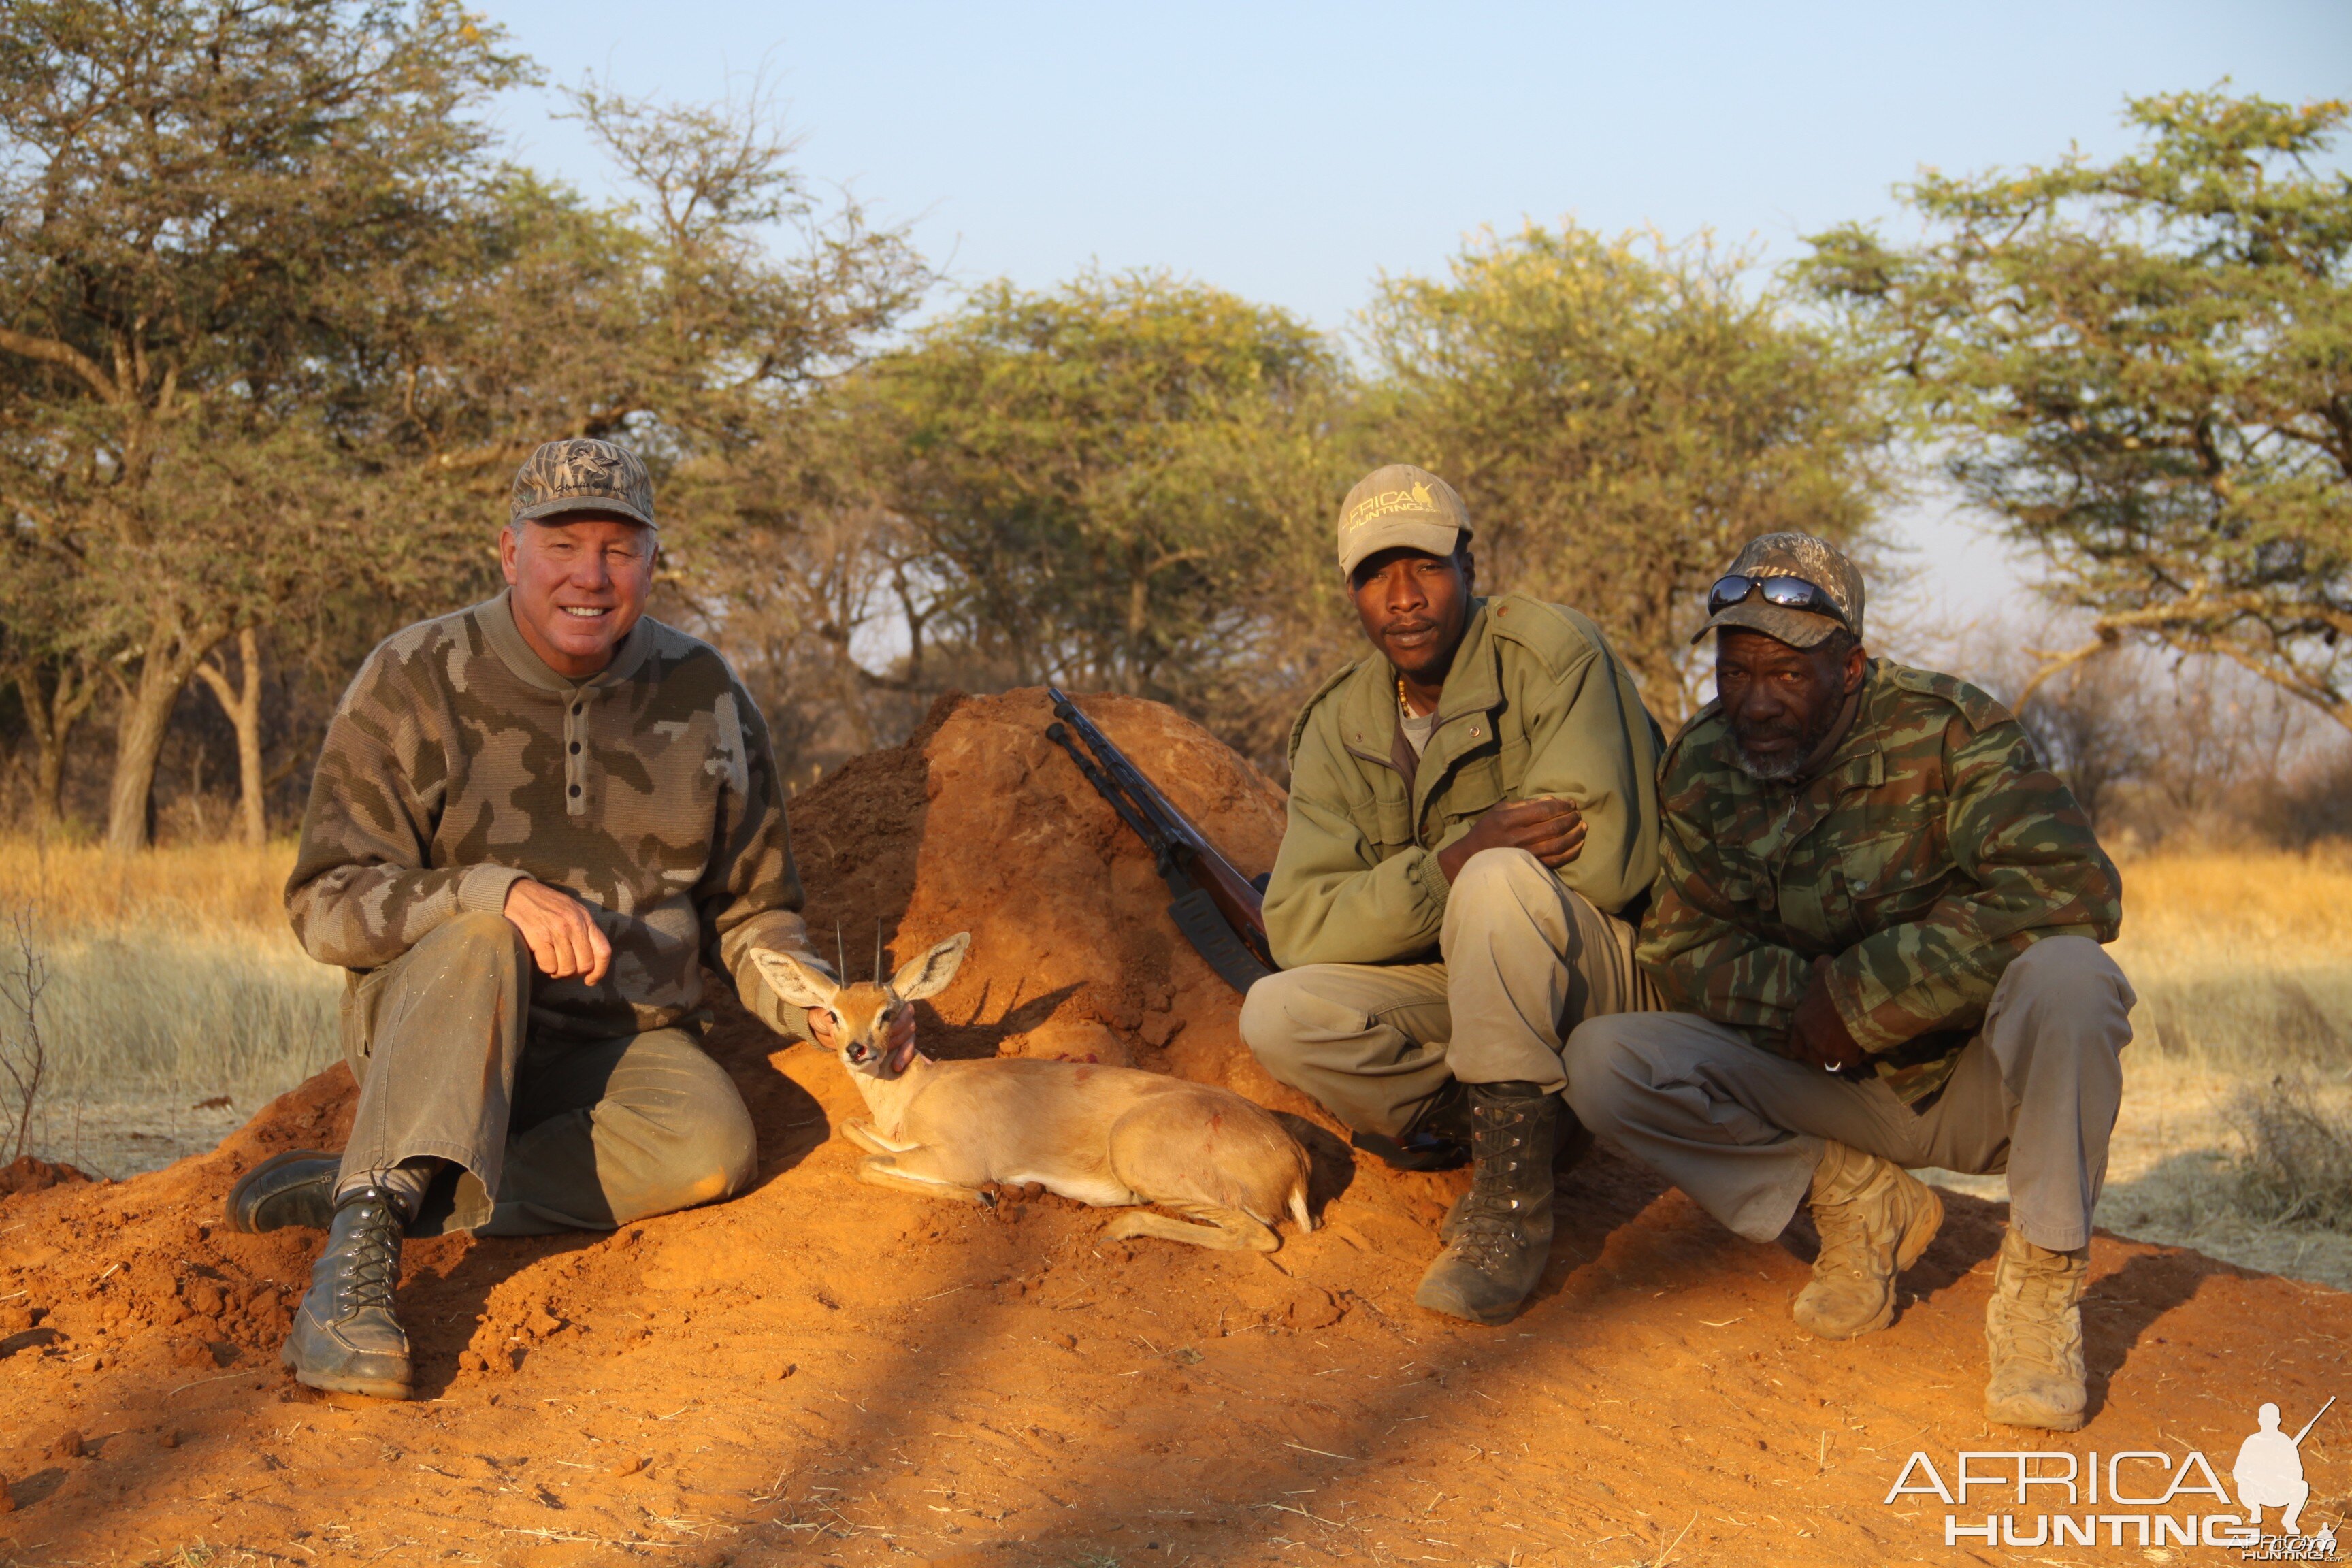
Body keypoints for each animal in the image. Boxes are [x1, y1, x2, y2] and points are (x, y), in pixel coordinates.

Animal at [748, 930, 1317, 1250]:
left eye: (889, 1012)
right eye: (834, 1013)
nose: (857, 1050)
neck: (917, 1091)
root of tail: (1295, 1162)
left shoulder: (958, 1156)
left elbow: (869, 1166)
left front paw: (984, 1194)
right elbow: (853, 1131)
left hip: (1140, 1157)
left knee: (1259, 1235)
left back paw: (1114, 1229)